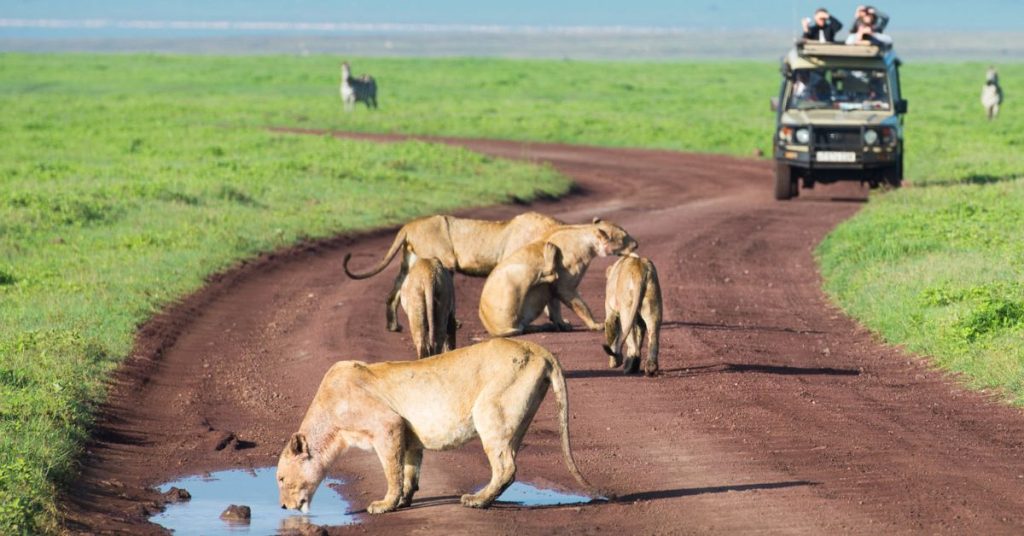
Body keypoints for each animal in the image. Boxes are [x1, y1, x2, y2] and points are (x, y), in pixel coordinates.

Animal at [276, 338, 600, 515]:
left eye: (280, 479)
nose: (282, 507)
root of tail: (537, 347)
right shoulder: (407, 434)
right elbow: (409, 470)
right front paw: (404, 500)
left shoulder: (387, 425)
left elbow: (391, 471)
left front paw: (385, 504)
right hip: (517, 419)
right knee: (509, 461)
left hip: (489, 411)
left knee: (506, 467)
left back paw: (476, 500)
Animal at [343, 212, 563, 332]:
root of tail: (408, 225)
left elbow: (553, 297)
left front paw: (561, 322)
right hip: (444, 260)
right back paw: (453, 323)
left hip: (410, 262)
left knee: (394, 293)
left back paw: (393, 326)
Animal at [479, 218, 638, 336]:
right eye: (624, 237)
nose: (636, 245)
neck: (584, 233)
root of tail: (492, 328)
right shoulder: (564, 286)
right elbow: (581, 306)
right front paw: (595, 325)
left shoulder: (553, 291)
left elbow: (555, 307)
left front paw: (561, 324)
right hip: (518, 271)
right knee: (545, 275)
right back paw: (550, 252)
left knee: (523, 327)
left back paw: (542, 326)